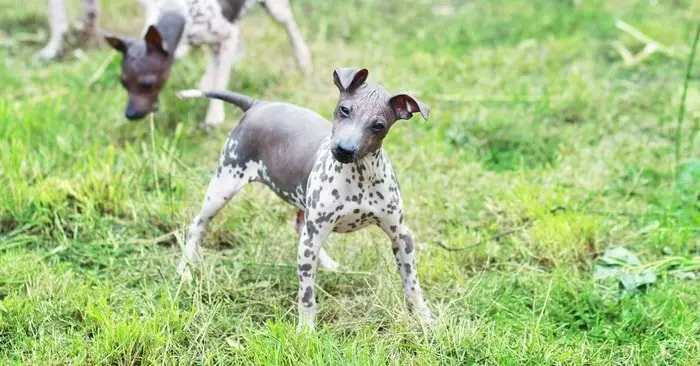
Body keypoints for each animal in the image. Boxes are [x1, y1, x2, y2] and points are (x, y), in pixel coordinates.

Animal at [104, 0, 312, 124]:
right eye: (123, 83)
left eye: (147, 83)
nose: (130, 115)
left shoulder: (228, 37)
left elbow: (221, 78)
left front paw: (214, 116)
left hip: (275, 9)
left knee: (288, 24)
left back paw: (302, 58)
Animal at [178, 68, 434, 328]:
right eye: (345, 110)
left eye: (378, 125)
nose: (343, 150)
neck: (360, 176)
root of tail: (258, 105)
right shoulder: (313, 238)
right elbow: (307, 295)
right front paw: (306, 330)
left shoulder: (401, 235)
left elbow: (413, 284)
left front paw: (424, 316)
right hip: (223, 186)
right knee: (196, 226)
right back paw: (185, 269)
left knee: (301, 229)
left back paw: (328, 263)